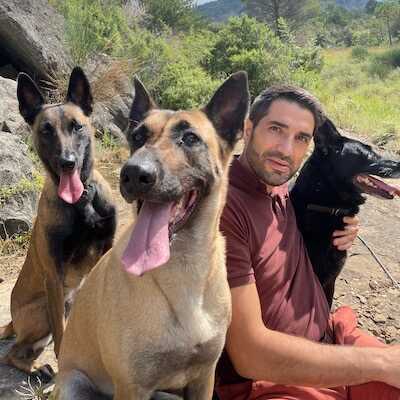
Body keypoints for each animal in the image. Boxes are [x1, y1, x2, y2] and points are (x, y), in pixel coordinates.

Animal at [0, 67, 117, 374]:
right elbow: (62, 337)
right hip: (43, 310)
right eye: (46, 130)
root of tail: (13, 320)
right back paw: (37, 369)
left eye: (77, 126)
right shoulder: (53, 276)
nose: (68, 162)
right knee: (14, 352)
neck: (81, 202)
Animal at [52, 71, 249, 400]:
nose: (133, 174)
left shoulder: (203, 379)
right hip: (73, 385)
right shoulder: (132, 386)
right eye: (137, 137)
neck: (182, 269)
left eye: (190, 139)